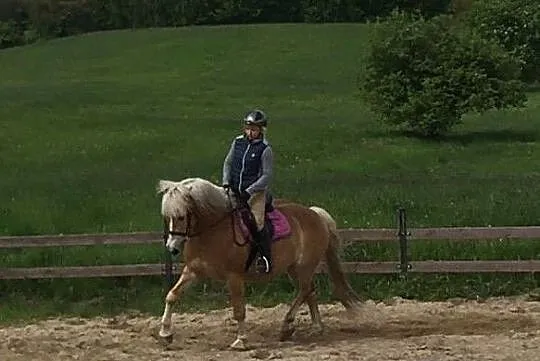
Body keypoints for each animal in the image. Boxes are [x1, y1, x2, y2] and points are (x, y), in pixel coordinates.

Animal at [154, 177, 360, 348]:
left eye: (181, 216)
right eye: (167, 217)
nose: (171, 247)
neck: (212, 231)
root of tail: (314, 214)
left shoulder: (234, 277)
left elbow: (239, 310)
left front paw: (241, 340)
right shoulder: (192, 271)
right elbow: (171, 295)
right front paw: (165, 334)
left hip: (304, 266)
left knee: (304, 290)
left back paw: (287, 326)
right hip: (294, 269)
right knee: (309, 291)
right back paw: (315, 327)